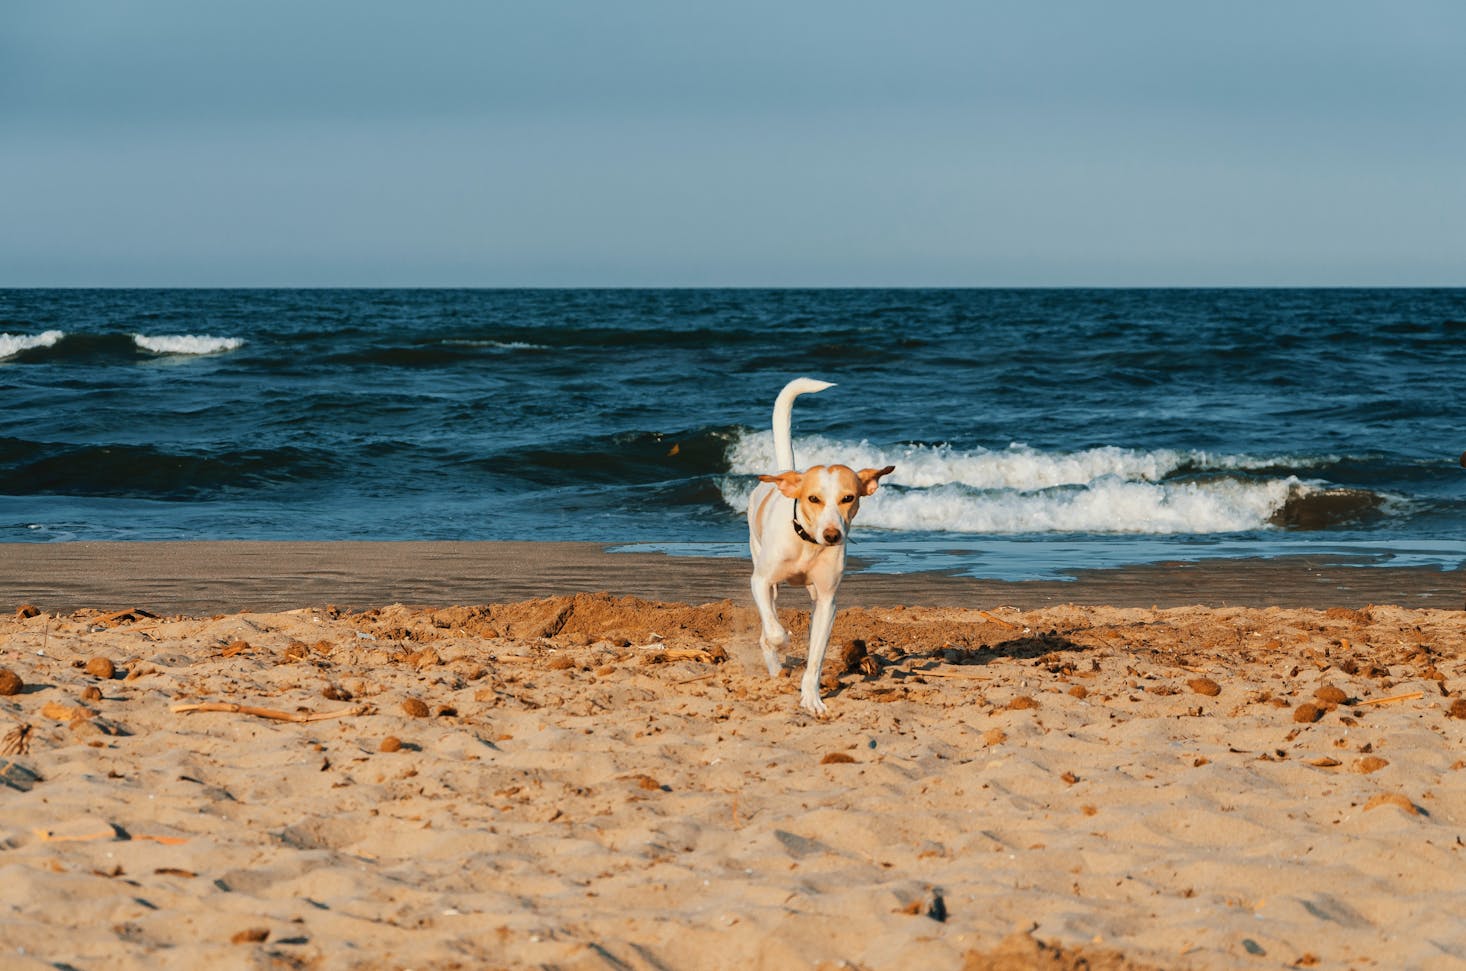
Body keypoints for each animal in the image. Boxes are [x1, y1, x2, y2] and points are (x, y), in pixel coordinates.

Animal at [744, 378, 891, 715]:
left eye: (849, 498)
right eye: (813, 499)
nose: (833, 535)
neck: (807, 544)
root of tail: (787, 473)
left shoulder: (827, 601)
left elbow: (816, 656)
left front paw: (811, 697)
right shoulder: (760, 581)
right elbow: (774, 630)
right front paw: (781, 641)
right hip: (764, 570)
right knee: (768, 619)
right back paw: (774, 665)